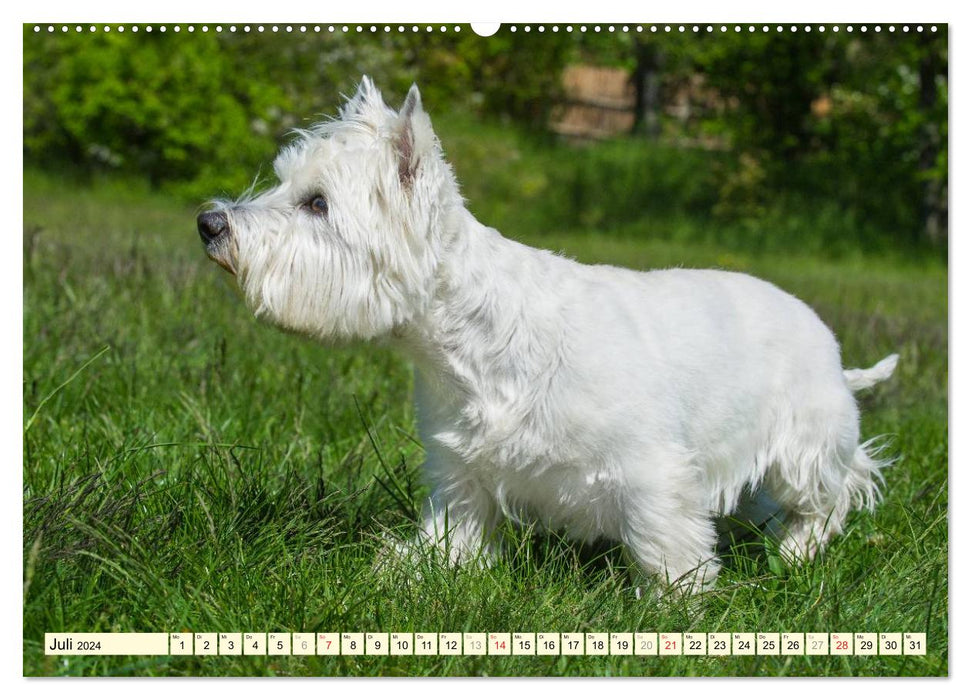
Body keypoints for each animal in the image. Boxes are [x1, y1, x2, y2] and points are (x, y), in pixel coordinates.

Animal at [199, 75, 904, 592]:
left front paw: (674, 606)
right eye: (286, 183)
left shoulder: (652, 469)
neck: (474, 342)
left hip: (805, 445)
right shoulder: (463, 472)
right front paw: (407, 571)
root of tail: (830, 346)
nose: (209, 223)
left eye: (317, 203)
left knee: (834, 492)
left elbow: (665, 541)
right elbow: (452, 538)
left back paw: (796, 557)